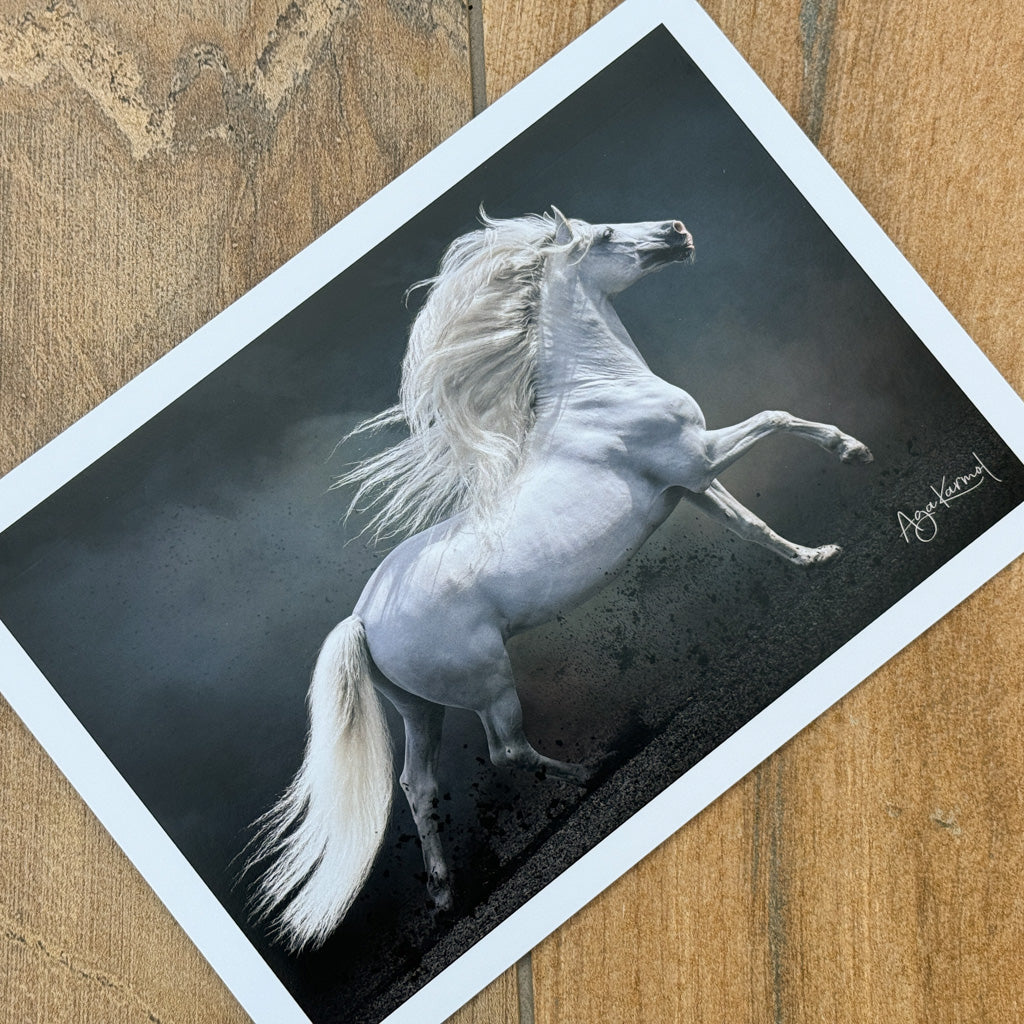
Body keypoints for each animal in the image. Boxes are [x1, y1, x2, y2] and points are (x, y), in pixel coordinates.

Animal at [250, 209, 872, 950]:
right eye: (604, 235)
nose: (677, 229)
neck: (600, 398)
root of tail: (365, 617)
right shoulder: (700, 458)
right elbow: (776, 417)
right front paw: (852, 450)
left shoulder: (691, 485)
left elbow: (753, 529)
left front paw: (817, 558)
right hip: (488, 683)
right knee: (507, 751)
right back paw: (593, 766)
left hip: (420, 710)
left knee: (417, 785)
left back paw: (445, 894)